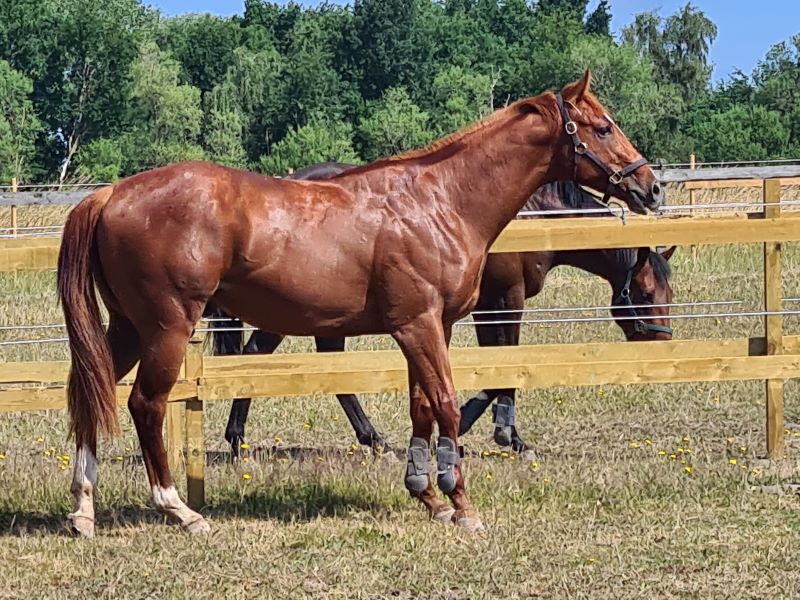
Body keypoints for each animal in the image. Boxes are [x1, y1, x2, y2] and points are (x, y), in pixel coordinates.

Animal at [209, 166, 672, 458]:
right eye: (646, 291)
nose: (662, 342)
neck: (534, 214)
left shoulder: (485, 306)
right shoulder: (507, 300)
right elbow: (505, 368)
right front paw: (497, 434)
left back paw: (371, 439)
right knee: (257, 355)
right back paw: (238, 440)